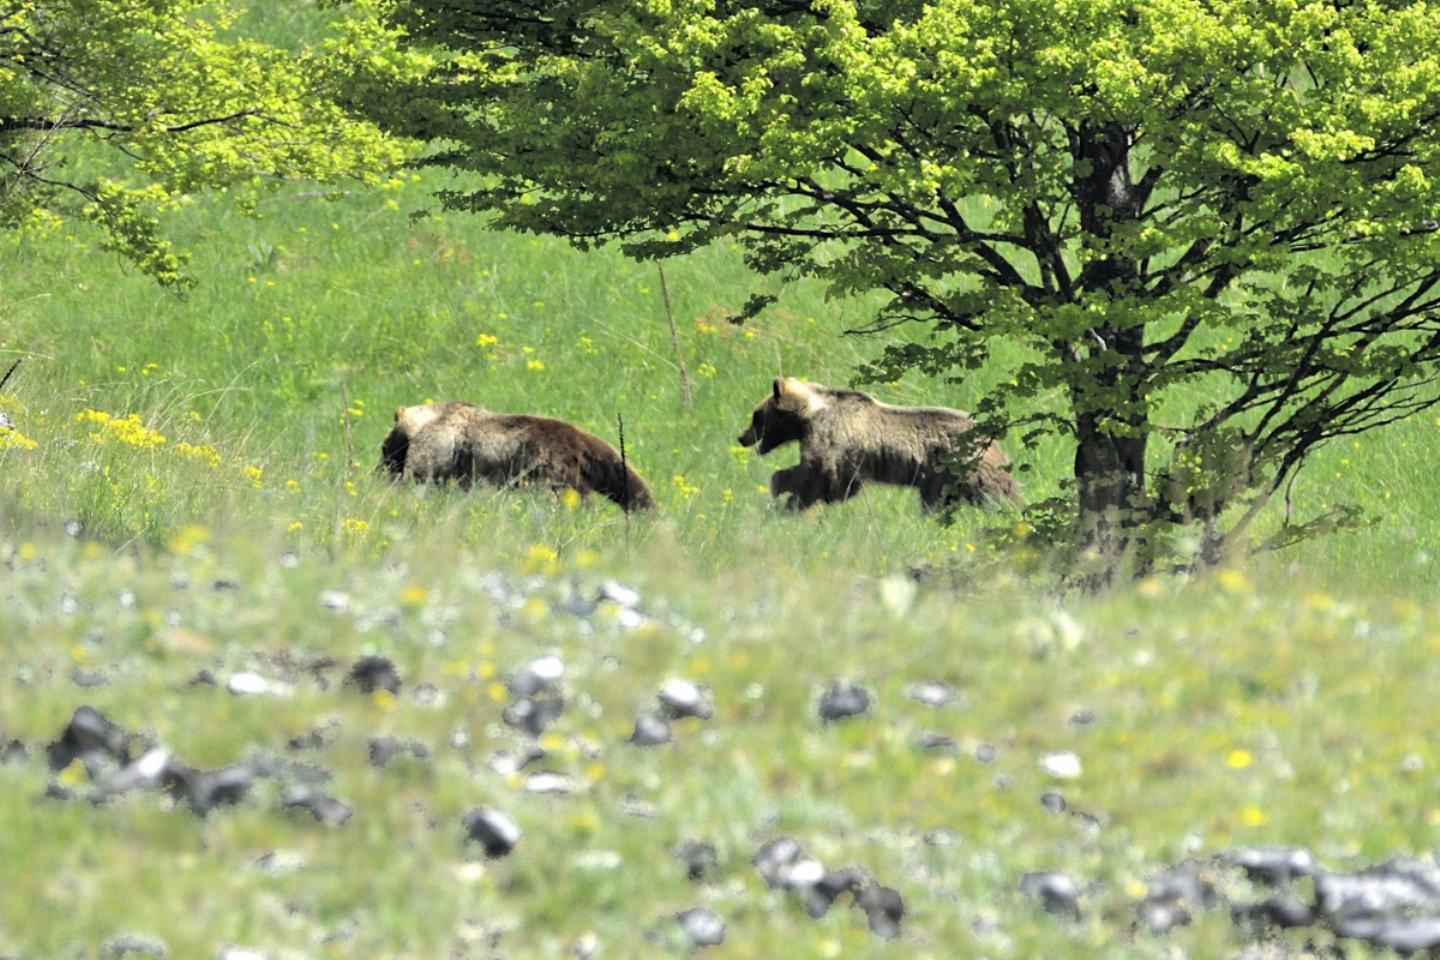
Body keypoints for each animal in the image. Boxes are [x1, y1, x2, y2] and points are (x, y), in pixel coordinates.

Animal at [737, 377, 1019, 515]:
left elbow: (818, 475)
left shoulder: (832, 439)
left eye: (756, 415)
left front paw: (784, 495)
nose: (741, 437)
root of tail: (996, 446)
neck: (810, 416)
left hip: (964, 470)